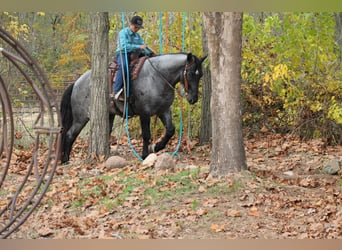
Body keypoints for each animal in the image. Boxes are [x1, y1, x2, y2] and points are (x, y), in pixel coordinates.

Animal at [59, 51, 206, 163]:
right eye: (191, 73)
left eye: (200, 74)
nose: (193, 98)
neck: (157, 76)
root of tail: (76, 83)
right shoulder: (144, 113)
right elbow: (146, 134)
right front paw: (145, 154)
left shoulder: (163, 110)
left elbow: (170, 130)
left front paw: (157, 147)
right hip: (81, 118)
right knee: (70, 134)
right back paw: (65, 159)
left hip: (108, 115)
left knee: (105, 132)